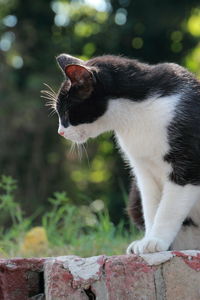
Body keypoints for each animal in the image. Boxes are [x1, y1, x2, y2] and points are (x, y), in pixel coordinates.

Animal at [47, 53, 200, 253]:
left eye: (66, 112)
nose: (60, 132)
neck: (136, 115)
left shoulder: (188, 165)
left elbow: (168, 209)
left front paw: (155, 241)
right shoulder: (143, 171)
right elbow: (151, 207)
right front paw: (147, 241)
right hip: (134, 197)